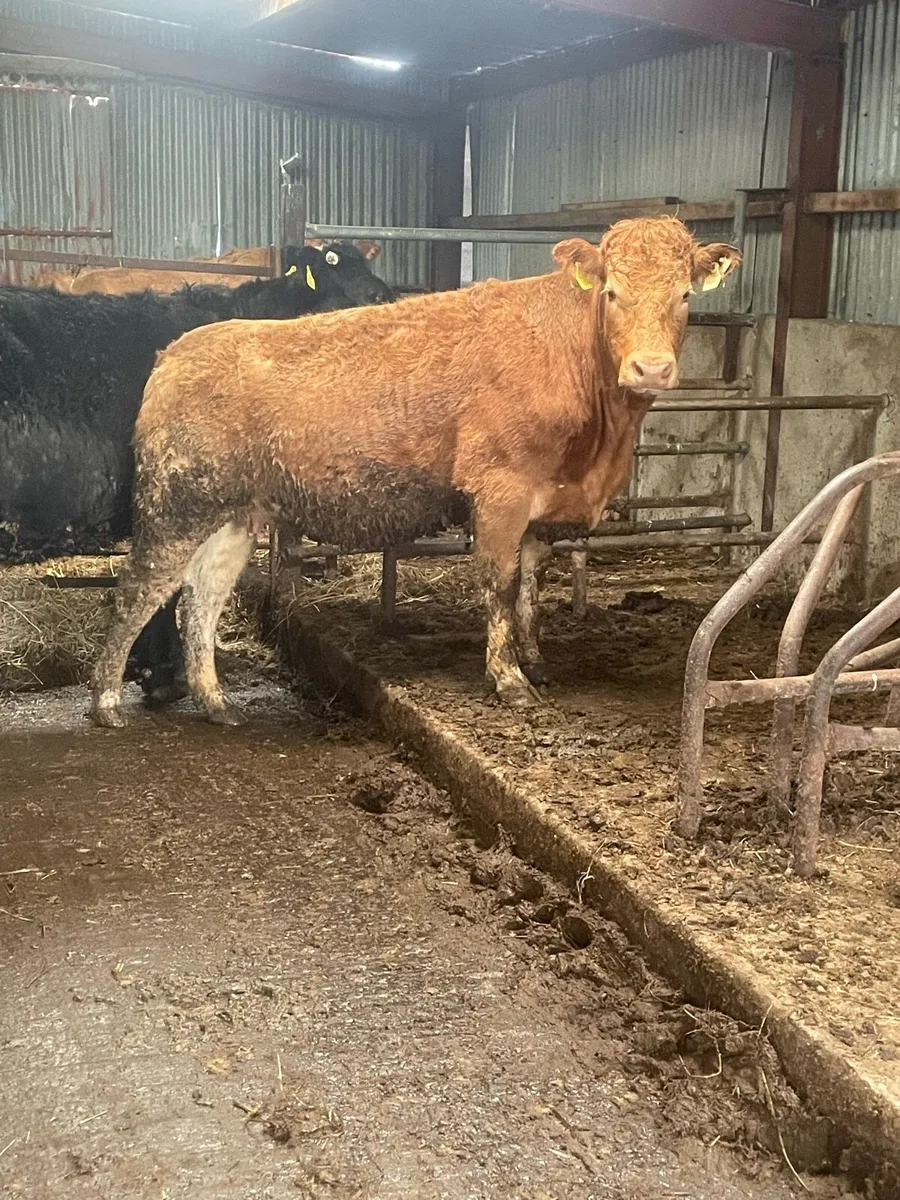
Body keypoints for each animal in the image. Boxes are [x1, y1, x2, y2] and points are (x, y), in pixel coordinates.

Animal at [89, 217, 741, 729]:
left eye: (686, 295)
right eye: (610, 292)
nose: (651, 368)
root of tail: (174, 353)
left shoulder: (543, 504)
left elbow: (532, 587)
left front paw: (535, 661)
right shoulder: (500, 491)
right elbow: (501, 587)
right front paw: (509, 682)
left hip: (232, 516)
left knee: (198, 602)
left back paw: (217, 703)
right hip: (175, 505)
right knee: (137, 589)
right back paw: (105, 704)